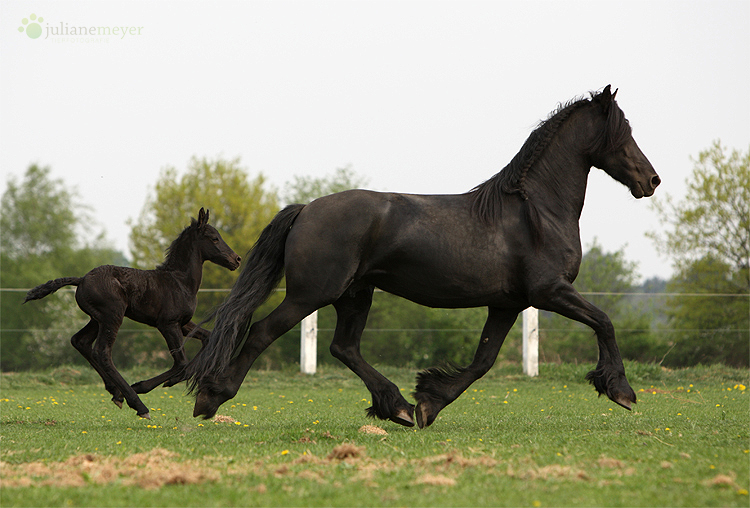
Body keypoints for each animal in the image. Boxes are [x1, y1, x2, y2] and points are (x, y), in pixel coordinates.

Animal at [25, 208, 242, 418]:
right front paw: (144, 386)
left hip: (97, 319)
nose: (237, 259)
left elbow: (207, 338)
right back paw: (137, 404)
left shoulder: (184, 323)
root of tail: (81, 279)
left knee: (80, 341)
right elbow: (181, 362)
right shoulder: (168, 323)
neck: (180, 281)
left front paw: (172, 381)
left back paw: (116, 392)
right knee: (102, 351)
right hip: (112, 316)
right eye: (214, 238)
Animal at [189, 85, 664, 426]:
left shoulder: (508, 304)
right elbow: (604, 321)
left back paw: (396, 406)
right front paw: (621, 391)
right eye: (624, 134)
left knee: (344, 348)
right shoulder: (550, 291)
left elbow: (483, 362)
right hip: (311, 295)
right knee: (261, 333)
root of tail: (306, 209)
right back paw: (212, 398)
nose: (652, 180)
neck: (536, 212)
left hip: (355, 295)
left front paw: (428, 403)